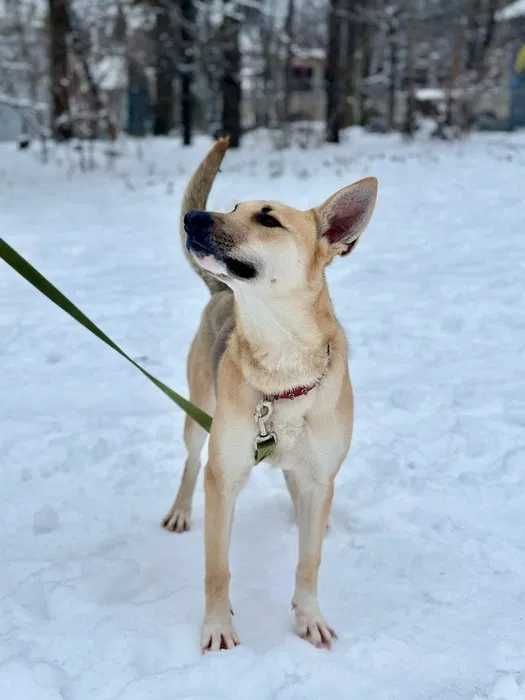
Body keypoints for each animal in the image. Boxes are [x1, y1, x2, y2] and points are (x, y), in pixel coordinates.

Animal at [162, 139, 374, 652]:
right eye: (234, 207)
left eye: (268, 220)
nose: (193, 218)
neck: (283, 364)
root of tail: (220, 293)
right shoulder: (223, 478)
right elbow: (217, 568)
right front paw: (218, 626)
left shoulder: (320, 477)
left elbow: (309, 562)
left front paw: (309, 617)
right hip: (198, 415)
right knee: (189, 462)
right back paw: (179, 511)